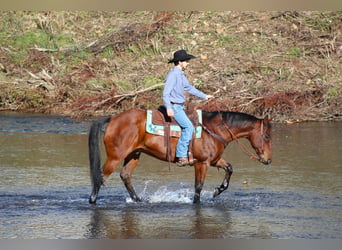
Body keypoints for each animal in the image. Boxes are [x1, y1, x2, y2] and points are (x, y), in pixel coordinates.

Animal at [88, 108, 272, 204]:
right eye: (267, 136)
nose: (268, 159)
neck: (214, 130)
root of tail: (113, 119)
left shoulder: (214, 160)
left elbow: (229, 169)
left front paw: (216, 191)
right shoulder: (202, 163)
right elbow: (198, 186)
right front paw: (197, 202)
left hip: (134, 154)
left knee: (125, 175)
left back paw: (139, 200)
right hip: (115, 157)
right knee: (100, 177)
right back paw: (92, 201)